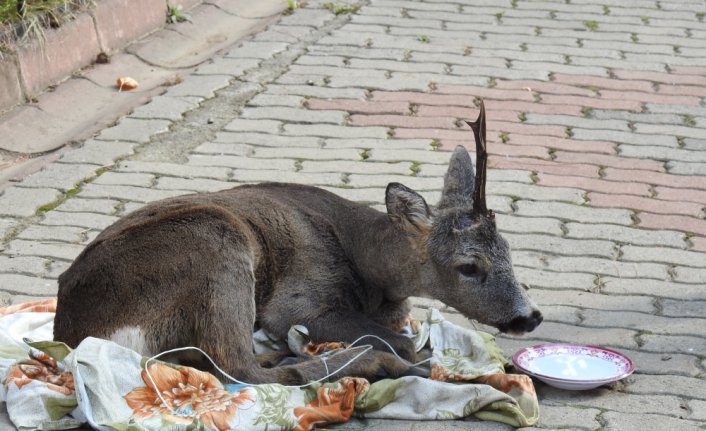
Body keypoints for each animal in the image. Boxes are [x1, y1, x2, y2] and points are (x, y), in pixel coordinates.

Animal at [53, 101, 540, 384]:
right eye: (469, 266)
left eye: (509, 251)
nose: (530, 316)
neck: (370, 270)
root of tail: (73, 335)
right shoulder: (299, 300)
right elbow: (399, 340)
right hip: (217, 245)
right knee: (238, 368)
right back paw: (366, 363)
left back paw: (287, 354)